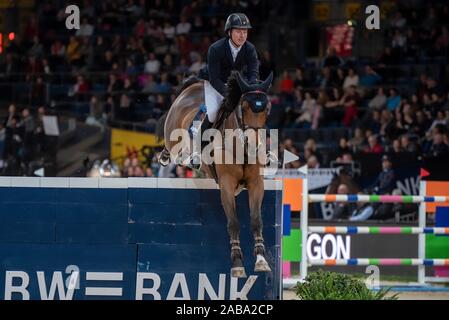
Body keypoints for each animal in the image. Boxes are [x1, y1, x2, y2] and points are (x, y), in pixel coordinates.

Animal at [159, 72, 274, 278]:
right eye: (244, 107)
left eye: (267, 109)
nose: (254, 146)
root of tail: (193, 87)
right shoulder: (226, 185)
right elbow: (233, 222)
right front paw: (237, 263)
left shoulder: (256, 183)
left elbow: (256, 220)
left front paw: (261, 260)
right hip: (172, 137)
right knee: (171, 149)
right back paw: (169, 157)